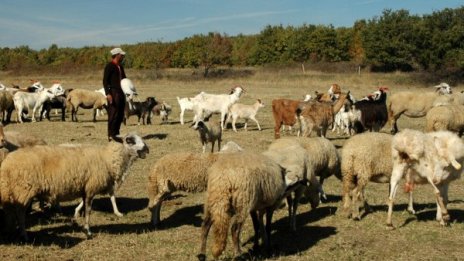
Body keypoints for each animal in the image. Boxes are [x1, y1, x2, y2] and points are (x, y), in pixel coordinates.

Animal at [0, 133, 149, 239]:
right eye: (130, 140)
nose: (147, 149)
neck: (106, 158)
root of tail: (7, 162)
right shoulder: (91, 187)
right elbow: (88, 211)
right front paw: (88, 231)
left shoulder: (86, 188)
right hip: (23, 189)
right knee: (20, 213)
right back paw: (23, 234)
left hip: (11, 190)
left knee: (9, 211)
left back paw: (10, 230)